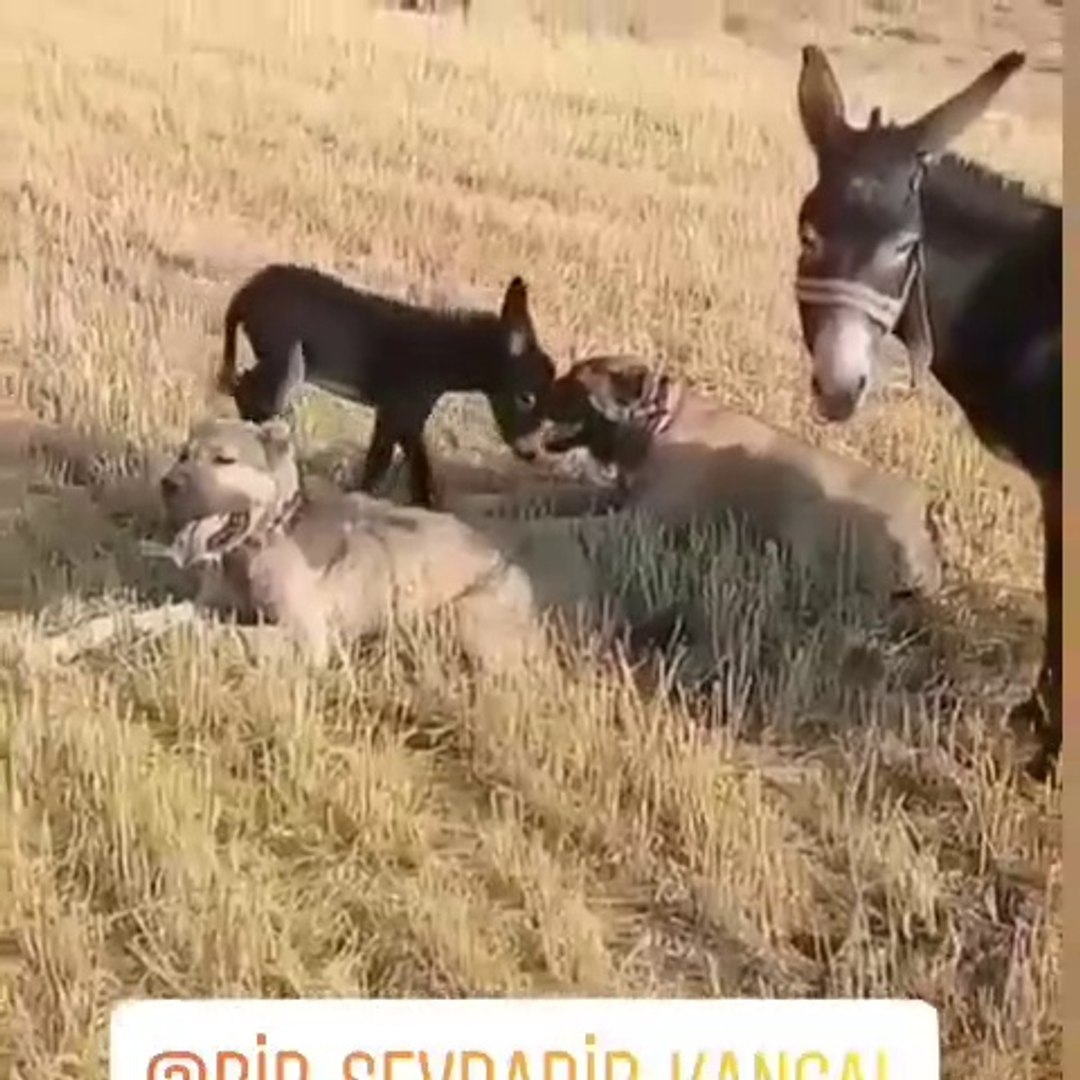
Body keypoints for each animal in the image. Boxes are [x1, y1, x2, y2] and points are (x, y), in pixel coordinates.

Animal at [216, 265, 561, 509]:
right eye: (526, 398)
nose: (531, 453)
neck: (441, 354)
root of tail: (246, 290)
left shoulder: (407, 416)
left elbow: (417, 470)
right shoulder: (399, 410)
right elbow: (381, 464)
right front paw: (360, 501)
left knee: (243, 388)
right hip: (286, 359)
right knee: (253, 394)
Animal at [451, 358, 941, 604]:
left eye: (575, 383)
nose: (532, 391)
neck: (657, 424)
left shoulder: (635, 523)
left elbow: (552, 525)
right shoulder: (612, 496)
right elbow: (535, 495)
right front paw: (476, 502)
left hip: (809, 523)